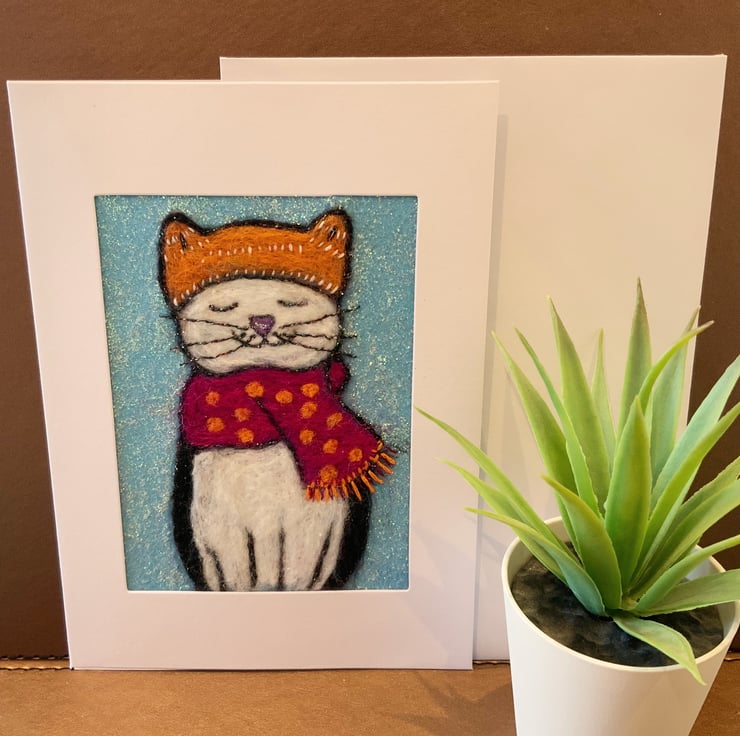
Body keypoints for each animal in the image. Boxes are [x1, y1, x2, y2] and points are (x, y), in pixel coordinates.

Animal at [158, 209, 394, 591]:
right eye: (224, 306)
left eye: (291, 302)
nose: (262, 321)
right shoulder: (217, 533)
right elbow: (231, 566)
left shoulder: (316, 531)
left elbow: (301, 562)